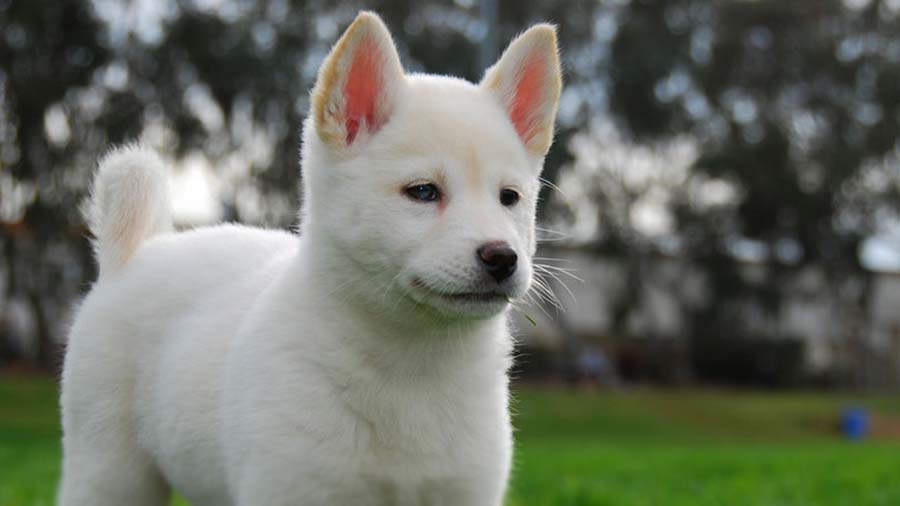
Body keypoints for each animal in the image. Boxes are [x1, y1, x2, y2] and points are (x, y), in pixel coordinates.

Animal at [56, 11, 560, 506]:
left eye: (510, 197)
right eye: (422, 192)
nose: (503, 257)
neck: (413, 367)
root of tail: (135, 253)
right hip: (110, 470)